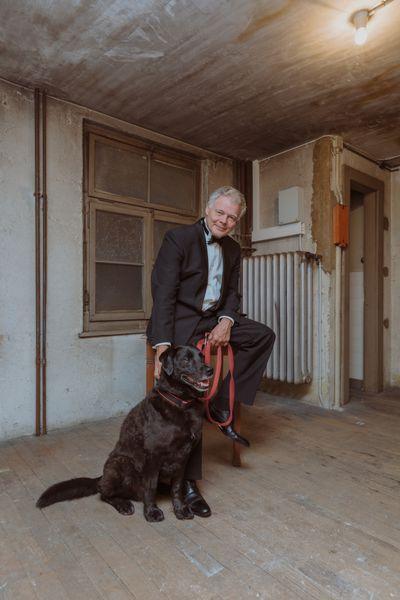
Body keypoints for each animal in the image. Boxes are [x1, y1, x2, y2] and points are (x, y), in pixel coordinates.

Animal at [36, 344, 214, 524]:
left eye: (202, 357)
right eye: (186, 360)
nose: (210, 370)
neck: (182, 404)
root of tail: (101, 477)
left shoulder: (183, 457)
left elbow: (177, 487)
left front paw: (180, 509)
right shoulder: (153, 456)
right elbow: (150, 488)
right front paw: (151, 512)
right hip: (120, 462)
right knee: (104, 493)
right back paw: (123, 504)